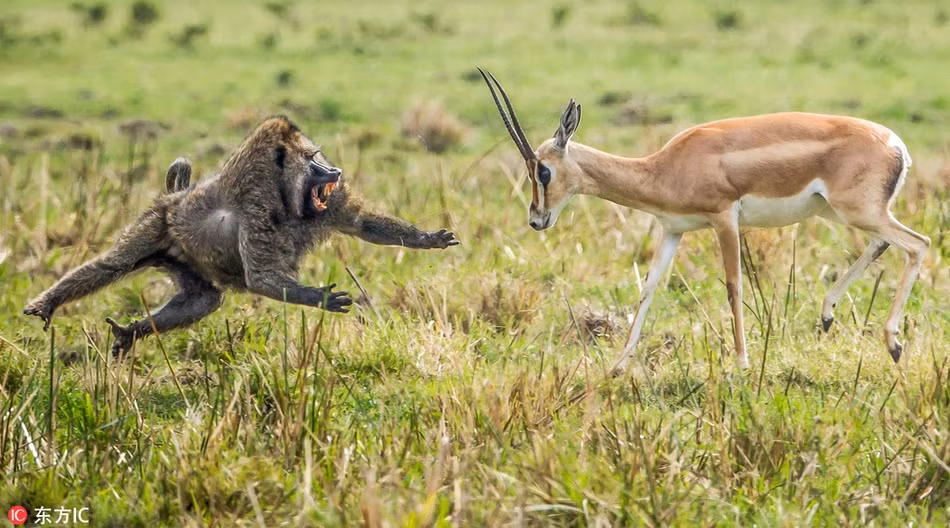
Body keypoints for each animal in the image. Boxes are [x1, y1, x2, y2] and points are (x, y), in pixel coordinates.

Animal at [477, 68, 930, 372]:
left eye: (543, 171)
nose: (537, 219)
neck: (664, 168)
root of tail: (898, 145)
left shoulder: (724, 219)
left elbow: (733, 287)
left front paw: (742, 364)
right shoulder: (673, 230)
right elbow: (648, 289)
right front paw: (617, 367)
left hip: (857, 211)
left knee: (917, 244)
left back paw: (892, 344)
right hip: (842, 212)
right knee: (885, 243)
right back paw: (828, 316)